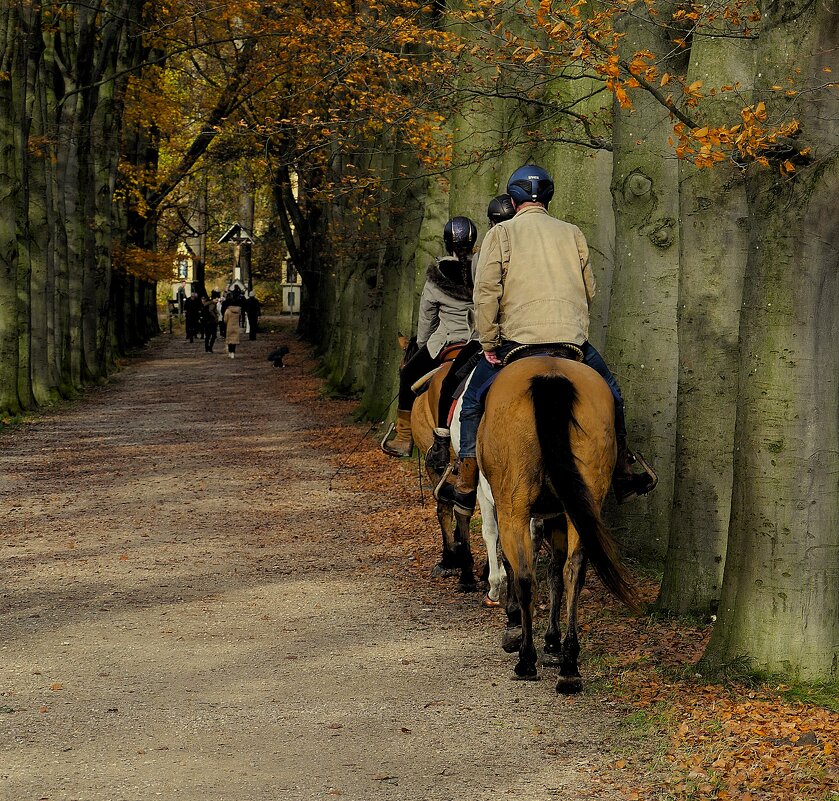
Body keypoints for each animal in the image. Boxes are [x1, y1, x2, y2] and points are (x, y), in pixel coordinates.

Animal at [476, 354, 640, 692]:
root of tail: (550, 376)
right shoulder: (558, 514)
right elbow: (556, 572)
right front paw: (552, 643)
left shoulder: (509, 508)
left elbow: (516, 564)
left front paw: (516, 629)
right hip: (584, 497)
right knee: (574, 570)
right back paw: (569, 666)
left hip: (513, 506)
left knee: (526, 575)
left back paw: (526, 660)